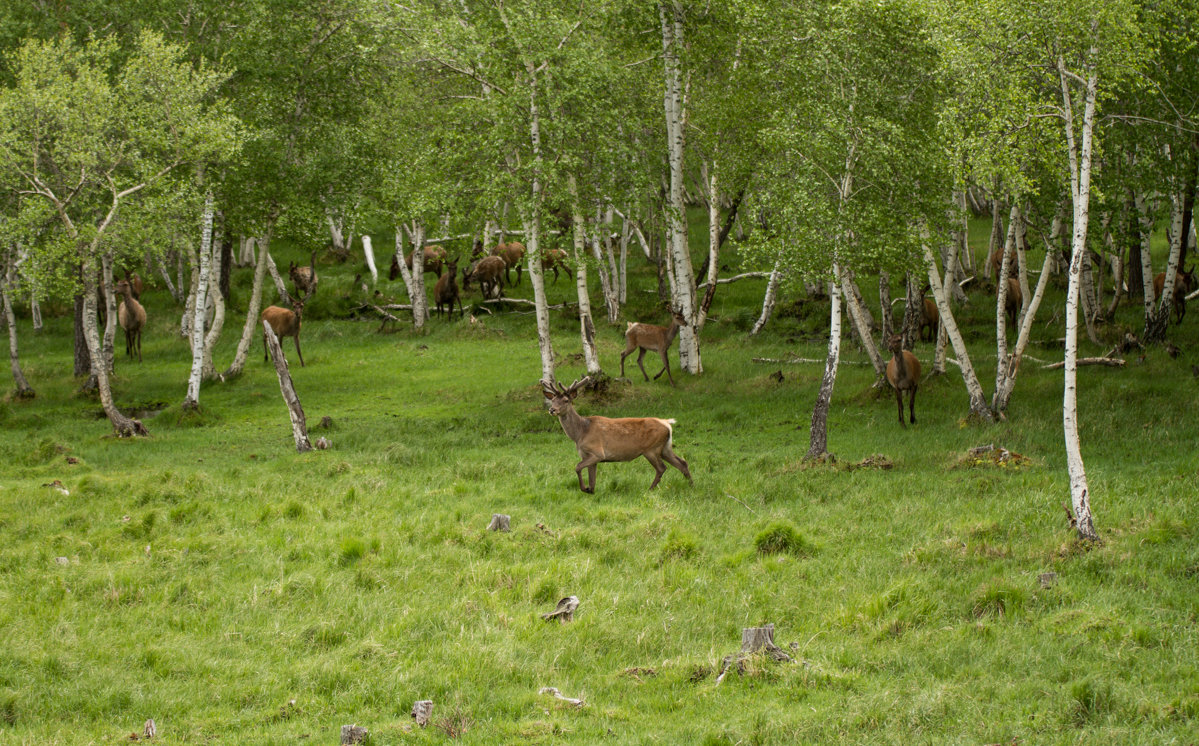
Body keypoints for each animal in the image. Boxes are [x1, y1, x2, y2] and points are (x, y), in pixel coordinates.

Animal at [544, 376, 695, 494]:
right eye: (553, 400)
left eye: (566, 400)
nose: (552, 410)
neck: (580, 433)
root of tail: (667, 423)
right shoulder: (587, 455)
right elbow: (592, 478)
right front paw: (590, 490)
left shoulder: (597, 452)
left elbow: (577, 467)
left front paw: (584, 489)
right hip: (665, 448)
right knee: (682, 463)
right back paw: (691, 486)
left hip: (651, 449)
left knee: (661, 468)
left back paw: (650, 490)